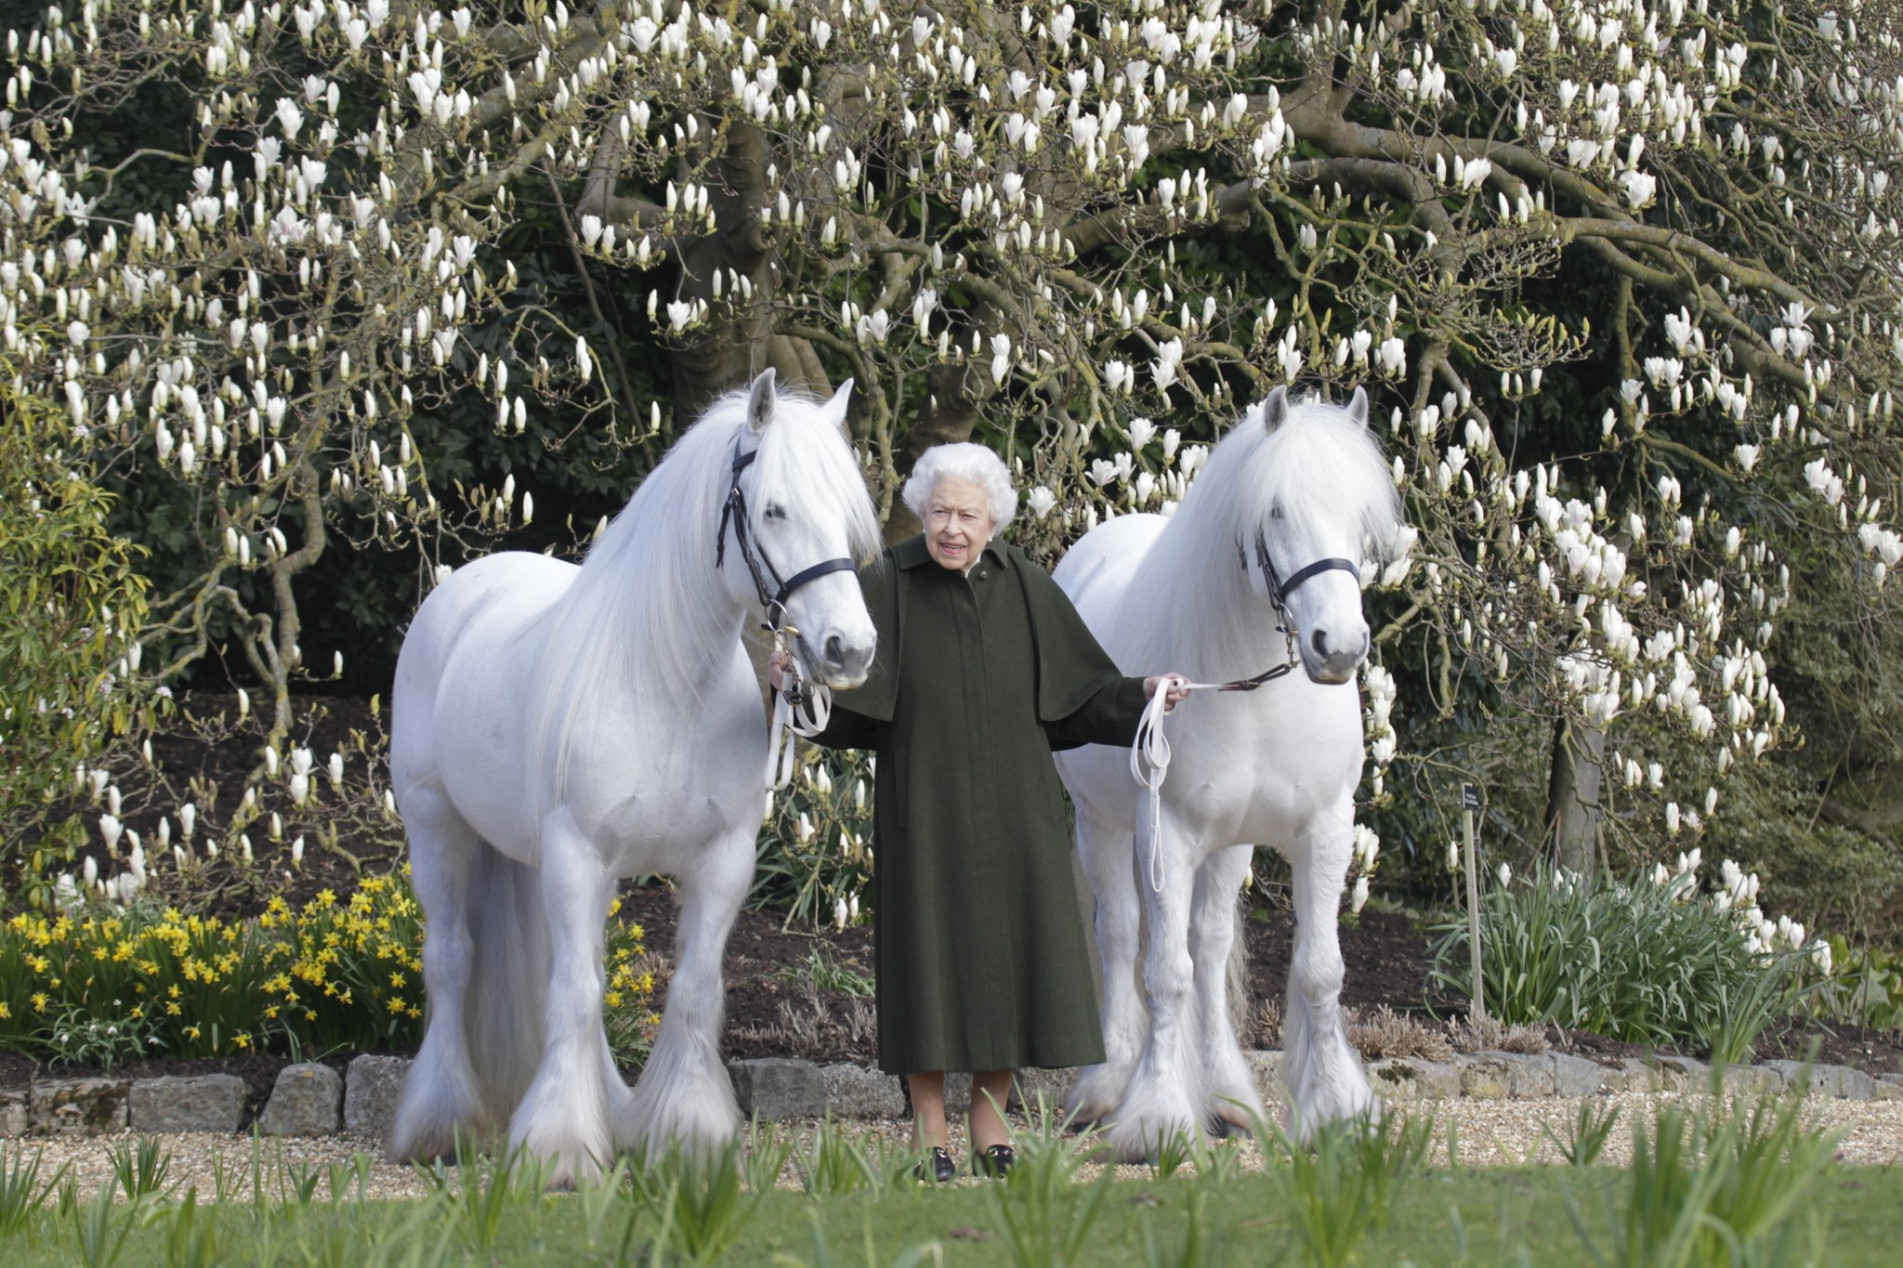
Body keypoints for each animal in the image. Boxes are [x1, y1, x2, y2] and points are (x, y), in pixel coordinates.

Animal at [393, 371, 882, 1180]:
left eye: (846, 516)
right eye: (774, 509)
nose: (851, 649)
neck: (665, 686)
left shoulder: (721, 861)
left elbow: (690, 990)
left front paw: (687, 1134)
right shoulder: (578, 854)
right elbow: (574, 993)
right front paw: (559, 1149)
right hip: (436, 826)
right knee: (453, 961)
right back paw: (440, 1123)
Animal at [1058, 384, 1400, 1157]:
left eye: (1360, 517)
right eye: (1275, 511)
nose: (1338, 646)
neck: (1255, 690)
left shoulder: (1324, 831)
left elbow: (1317, 971)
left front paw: (1335, 1109)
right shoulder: (1169, 835)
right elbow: (1163, 973)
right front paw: (1155, 1118)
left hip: (1229, 845)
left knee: (1209, 947)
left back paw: (1225, 1095)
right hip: (1103, 827)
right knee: (1121, 936)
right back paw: (1107, 1086)